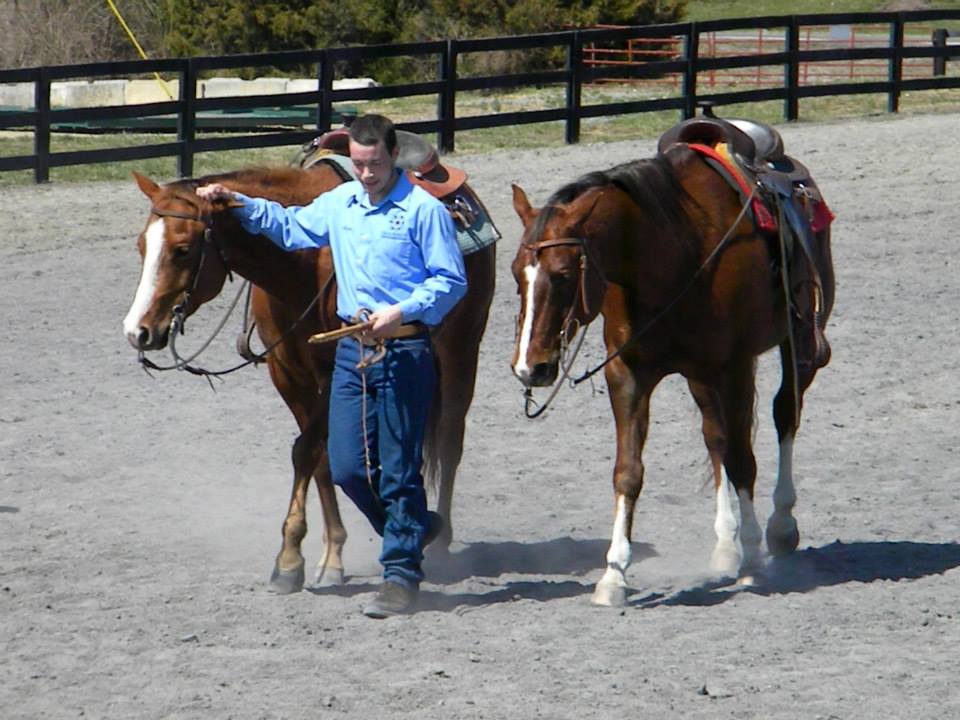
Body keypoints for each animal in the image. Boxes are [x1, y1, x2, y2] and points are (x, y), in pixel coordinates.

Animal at [509, 124, 834, 607]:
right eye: (516, 273)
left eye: (565, 274)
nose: (531, 368)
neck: (673, 254)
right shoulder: (628, 375)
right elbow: (629, 472)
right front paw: (614, 577)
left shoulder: (735, 368)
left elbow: (744, 460)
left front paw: (752, 560)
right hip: (701, 376)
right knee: (715, 437)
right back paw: (725, 546)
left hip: (801, 343)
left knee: (783, 415)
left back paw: (780, 528)